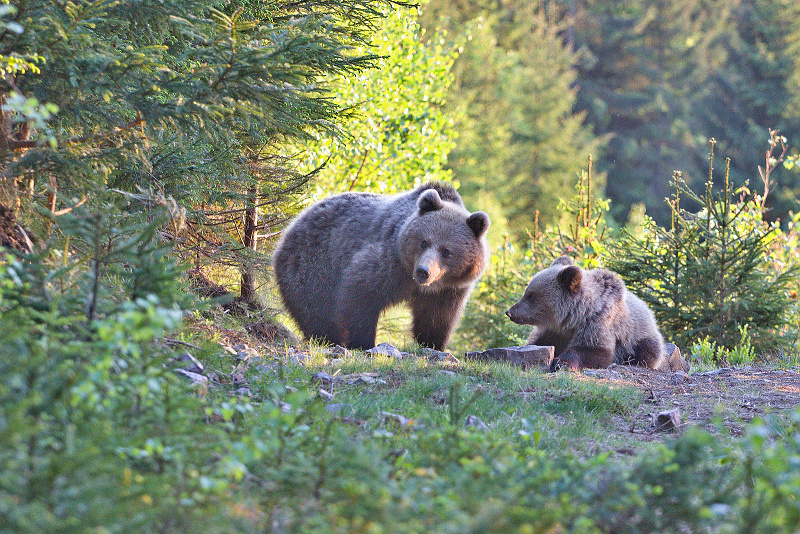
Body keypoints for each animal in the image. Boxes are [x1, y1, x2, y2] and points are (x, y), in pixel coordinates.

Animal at [272, 182, 490, 354]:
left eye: (446, 251)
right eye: (424, 242)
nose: (423, 271)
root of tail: (293, 224)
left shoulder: (449, 289)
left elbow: (437, 317)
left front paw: (432, 344)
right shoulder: (390, 263)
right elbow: (361, 293)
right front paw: (364, 342)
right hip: (313, 265)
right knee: (317, 310)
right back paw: (329, 339)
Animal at [506, 255, 668, 372]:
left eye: (531, 296)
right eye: (527, 292)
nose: (510, 312)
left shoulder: (598, 322)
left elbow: (595, 350)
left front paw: (560, 362)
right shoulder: (554, 331)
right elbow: (538, 342)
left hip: (640, 338)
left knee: (648, 352)